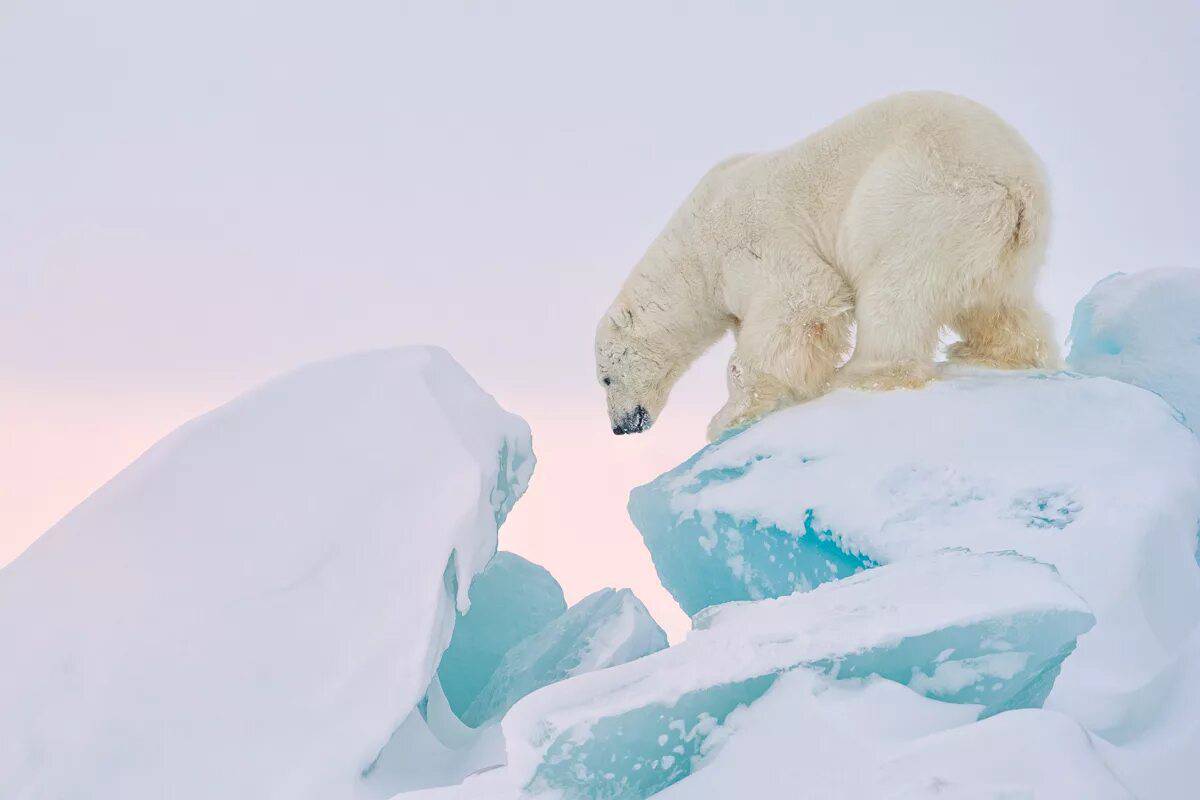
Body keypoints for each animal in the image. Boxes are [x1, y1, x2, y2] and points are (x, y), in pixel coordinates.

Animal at [595, 91, 1056, 441]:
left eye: (605, 379)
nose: (620, 427)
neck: (694, 250)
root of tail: (1016, 182)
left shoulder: (751, 242)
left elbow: (801, 298)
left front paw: (727, 418)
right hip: (1004, 242)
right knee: (999, 304)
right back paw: (992, 352)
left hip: (925, 200)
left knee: (895, 290)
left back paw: (861, 374)